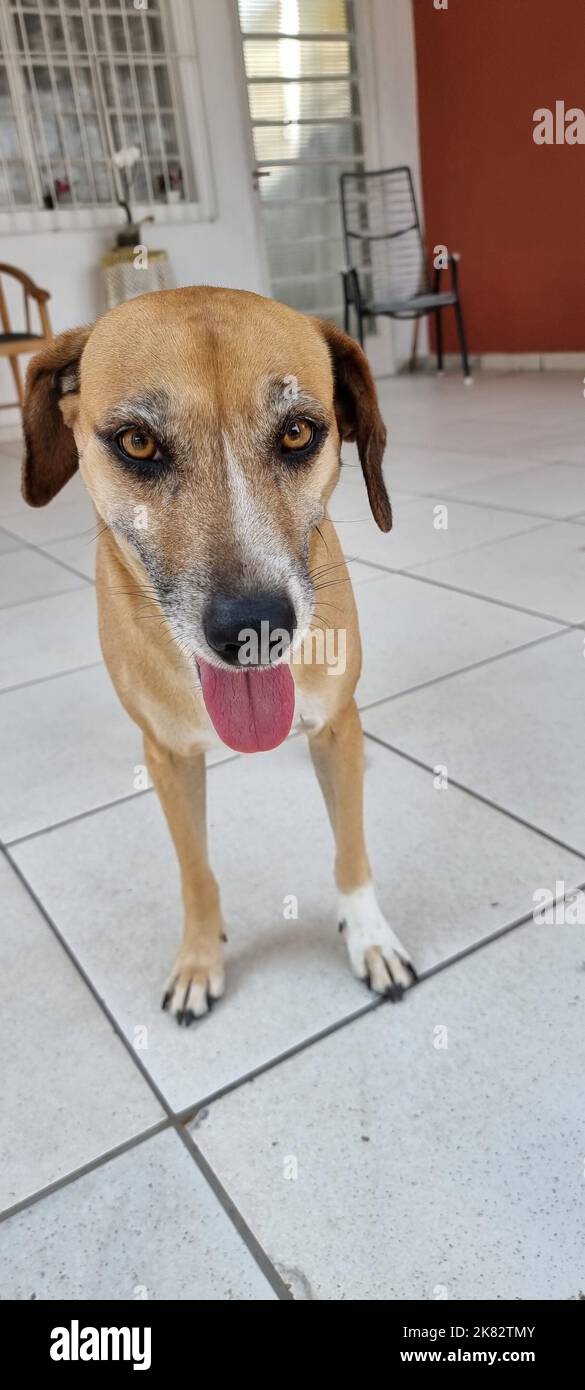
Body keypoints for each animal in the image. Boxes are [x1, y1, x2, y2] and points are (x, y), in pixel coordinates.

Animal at [22, 284, 414, 1023]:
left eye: (298, 432)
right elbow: (195, 872)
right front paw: (199, 960)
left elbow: (351, 848)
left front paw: (369, 937)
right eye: (137, 442)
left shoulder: (334, 724)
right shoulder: (170, 758)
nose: (254, 629)